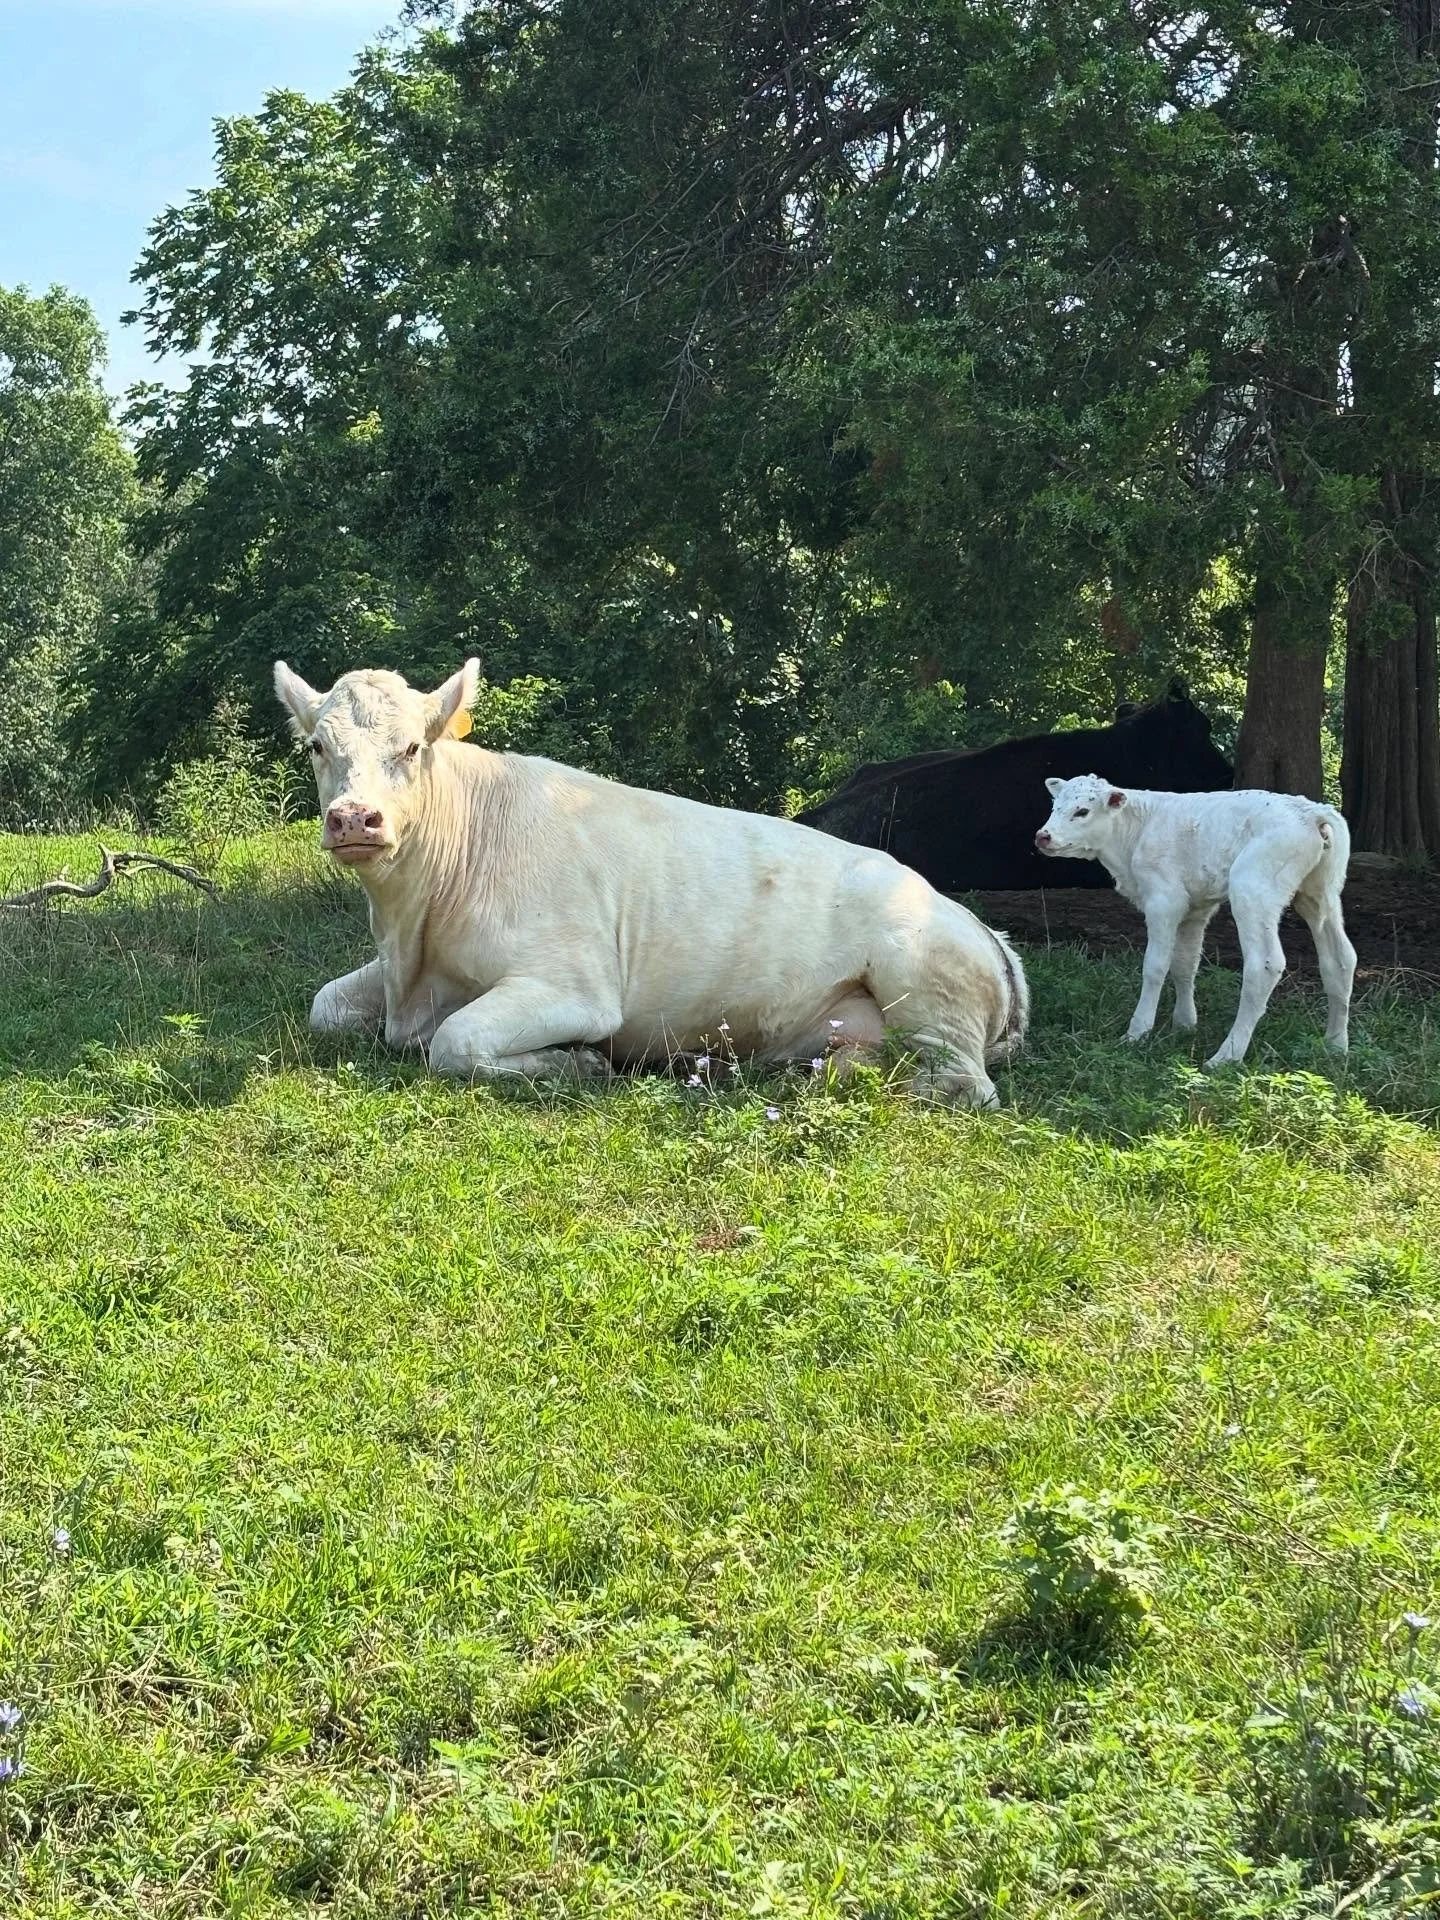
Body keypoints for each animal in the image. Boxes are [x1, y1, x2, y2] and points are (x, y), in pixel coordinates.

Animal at [274, 658, 1030, 1107]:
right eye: (317, 746)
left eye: (412, 748)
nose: (354, 817)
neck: (414, 941)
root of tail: (989, 934)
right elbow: (323, 1004)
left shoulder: (575, 986)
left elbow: (454, 1042)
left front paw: (578, 1063)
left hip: (921, 980)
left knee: (965, 1086)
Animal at [1035, 774, 1356, 1068]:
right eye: (1055, 806)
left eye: (1082, 811)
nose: (1043, 836)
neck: (1135, 832)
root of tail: (1312, 811)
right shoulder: (1195, 909)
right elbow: (1185, 963)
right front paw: (1185, 1024)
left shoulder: (1164, 900)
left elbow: (1155, 966)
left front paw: (1137, 1033)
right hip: (1319, 894)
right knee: (1340, 959)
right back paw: (1335, 1046)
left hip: (1253, 889)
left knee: (1265, 965)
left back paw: (1226, 1056)